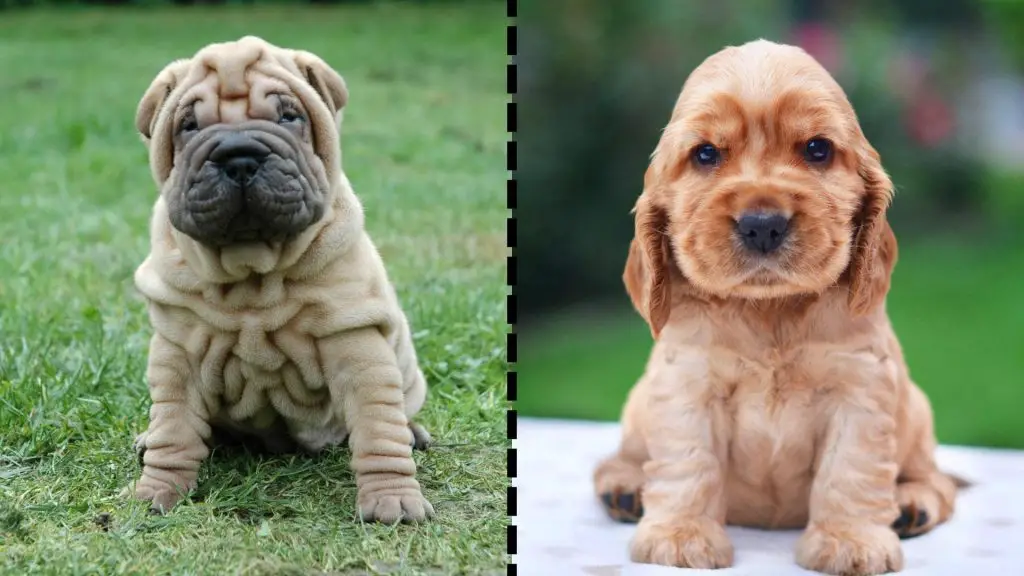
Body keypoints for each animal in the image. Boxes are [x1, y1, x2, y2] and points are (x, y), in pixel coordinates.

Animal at [123, 35, 432, 520]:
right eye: (189, 125)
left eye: (289, 117)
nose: (238, 156)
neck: (253, 273)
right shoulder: (177, 354)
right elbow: (173, 429)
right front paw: (156, 490)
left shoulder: (356, 344)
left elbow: (378, 430)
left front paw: (392, 499)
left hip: (408, 372)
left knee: (399, 413)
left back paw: (414, 432)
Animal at [593, 40, 958, 573]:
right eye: (706, 153)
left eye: (817, 149)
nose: (762, 224)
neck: (770, 310)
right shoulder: (688, 386)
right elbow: (689, 462)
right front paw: (680, 537)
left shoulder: (860, 388)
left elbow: (850, 469)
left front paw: (850, 541)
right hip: (639, 405)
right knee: (620, 458)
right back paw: (625, 487)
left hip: (917, 411)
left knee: (937, 478)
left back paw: (912, 504)